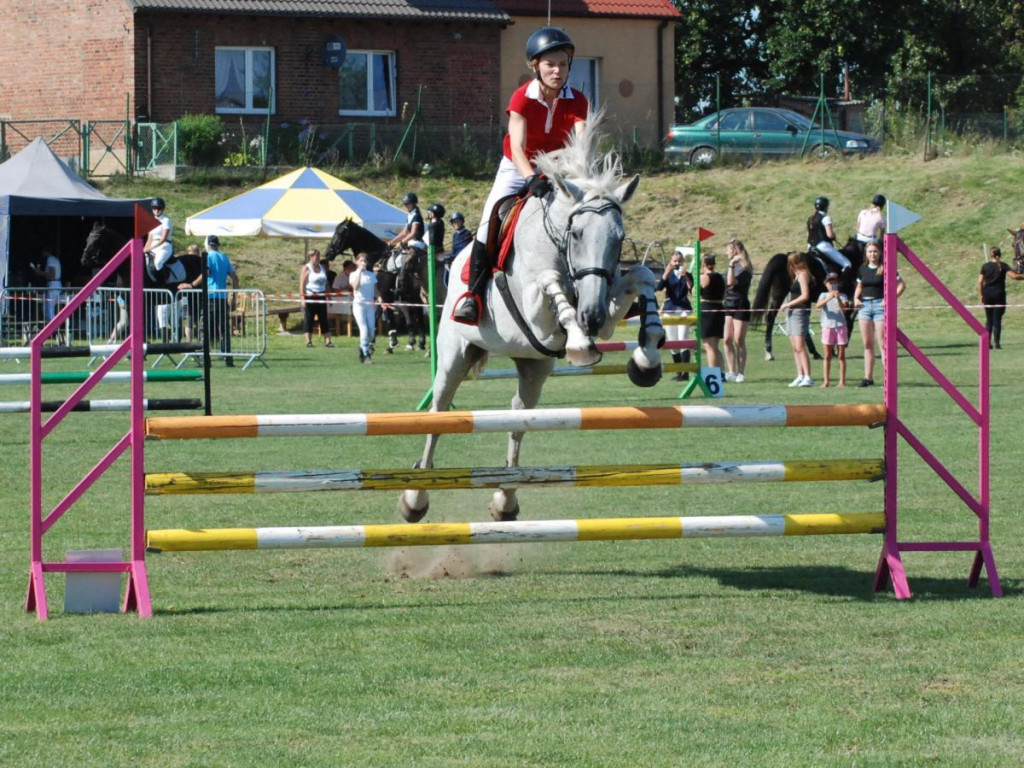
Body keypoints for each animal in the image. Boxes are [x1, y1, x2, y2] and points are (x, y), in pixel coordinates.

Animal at [395, 120, 667, 528]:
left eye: (619, 239)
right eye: (577, 233)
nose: (590, 317)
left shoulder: (601, 306)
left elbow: (642, 277)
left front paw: (646, 359)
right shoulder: (537, 310)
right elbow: (551, 284)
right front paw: (579, 345)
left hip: (533, 367)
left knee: (519, 417)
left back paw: (505, 499)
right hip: (454, 356)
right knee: (438, 414)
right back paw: (415, 498)